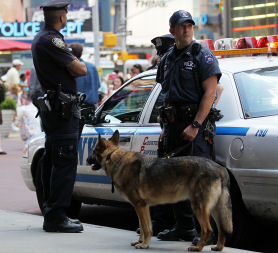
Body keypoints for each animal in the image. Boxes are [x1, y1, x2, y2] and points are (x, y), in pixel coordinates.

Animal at [87, 129, 232, 252]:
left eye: (93, 152)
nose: (87, 160)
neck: (114, 158)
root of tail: (220, 168)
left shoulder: (141, 205)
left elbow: (146, 228)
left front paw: (144, 244)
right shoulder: (140, 207)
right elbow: (142, 227)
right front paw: (140, 242)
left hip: (198, 207)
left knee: (208, 229)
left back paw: (198, 247)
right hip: (214, 209)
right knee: (221, 229)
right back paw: (218, 247)